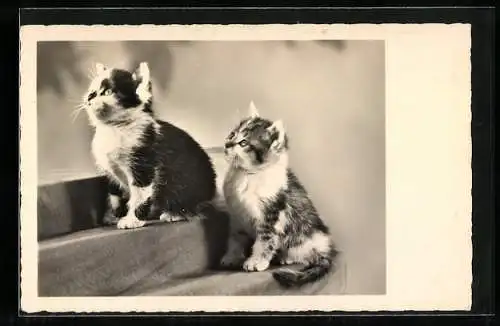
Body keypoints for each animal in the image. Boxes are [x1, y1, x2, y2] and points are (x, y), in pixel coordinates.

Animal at [82, 61, 217, 229]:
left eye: (107, 91)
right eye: (91, 91)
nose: (89, 97)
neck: (113, 129)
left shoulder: (143, 162)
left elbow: (140, 194)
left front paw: (133, 219)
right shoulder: (110, 171)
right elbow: (114, 193)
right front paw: (114, 215)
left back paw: (176, 212)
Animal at [221, 102, 338, 288]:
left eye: (244, 142)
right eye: (232, 134)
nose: (227, 144)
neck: (246, 175)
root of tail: (327, 250)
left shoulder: (272, 215)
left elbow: (265, 241)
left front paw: (256, 262)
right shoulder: (236, 216)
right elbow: (235, 237)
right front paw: (231, 256)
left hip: (306, 238)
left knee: (305, 255)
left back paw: (286, 257)